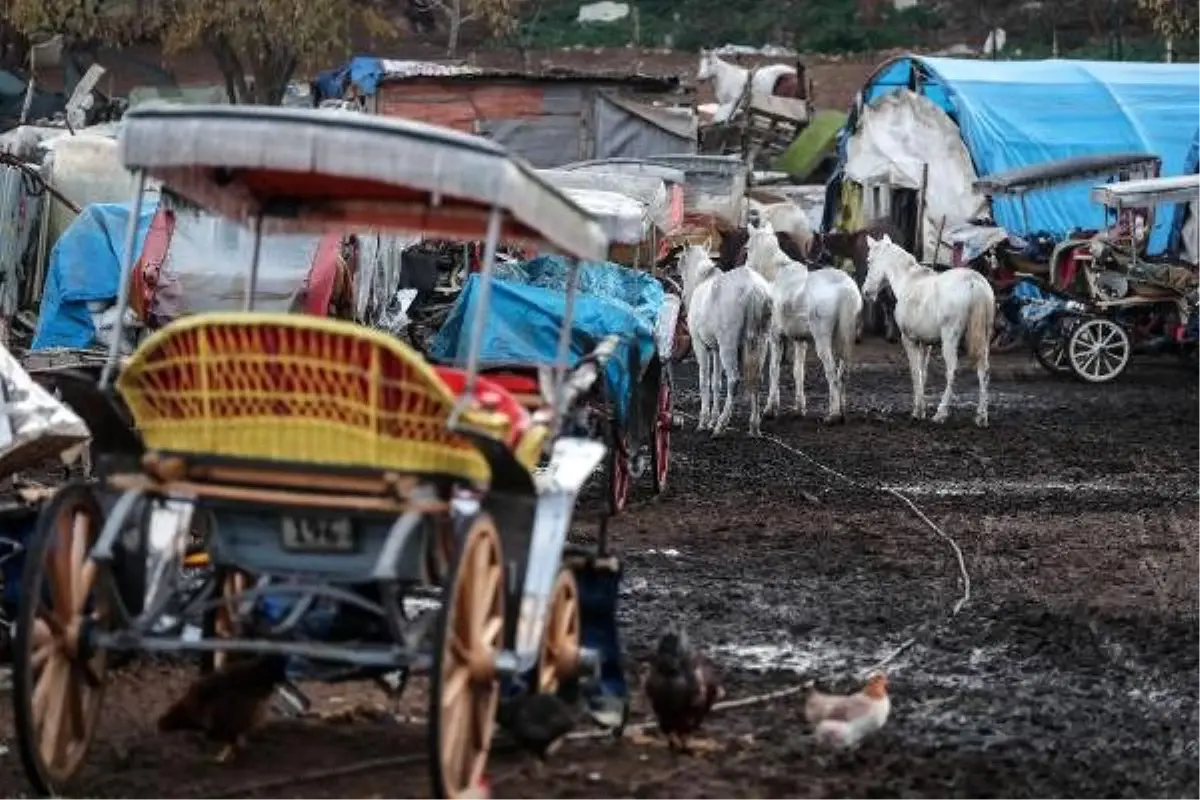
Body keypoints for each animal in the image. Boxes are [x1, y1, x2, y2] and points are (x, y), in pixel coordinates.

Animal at [681, 245, 772, 438]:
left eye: (681, 263)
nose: (683, 295)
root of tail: (754, 288)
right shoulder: (715, 349)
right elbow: (716, 382)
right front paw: (712, 418)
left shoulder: (700, 345)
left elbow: (704, 381)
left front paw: (704, 421)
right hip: (761, 342)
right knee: (756, 379)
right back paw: (754, 426)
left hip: (728, 346)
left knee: (734, 380)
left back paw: (721, 425)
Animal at [739, 215, 864, 422]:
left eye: (747, 247)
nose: (747, 270)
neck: (776, 277)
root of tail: (846, 289)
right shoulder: (800, 341)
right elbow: (798, 372)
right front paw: (799, 408)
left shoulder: (775, 337)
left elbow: (774, 370)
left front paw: (770, 409)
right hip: (846, 336)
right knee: (843, 371)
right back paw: (842, 410)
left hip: (822, 339)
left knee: (831, 371)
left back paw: (834, 414)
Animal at [864, 235, 993, 429]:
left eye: (869, 261)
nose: (865, 291)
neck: (909, 282)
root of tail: (973, 281)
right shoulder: (926, 344)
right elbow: (922, 373)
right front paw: (922, 409)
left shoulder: (909, 340)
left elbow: (915, 372)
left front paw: (917, 412)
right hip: (984, 339)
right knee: (983, 370)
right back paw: (981, 417)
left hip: (950, 339)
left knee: (952, 370)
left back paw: (941, 414)